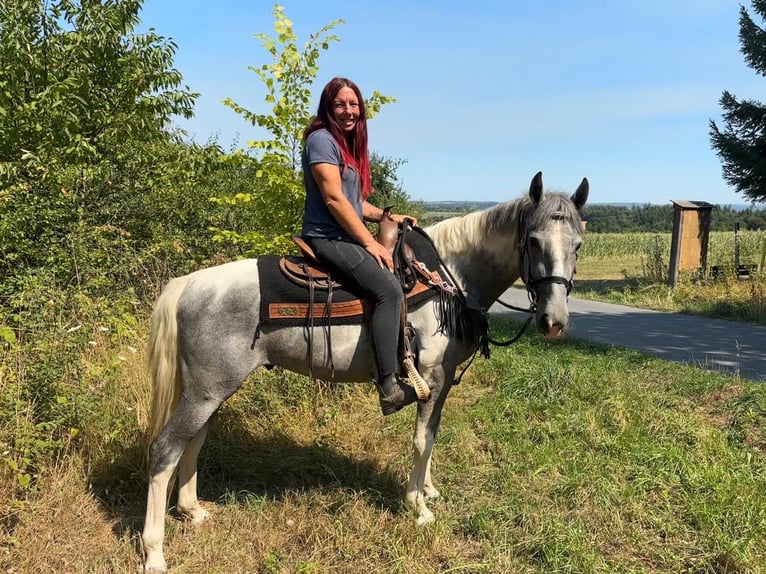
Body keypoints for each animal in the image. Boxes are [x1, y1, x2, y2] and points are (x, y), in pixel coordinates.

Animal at [141, 171, 589, 571]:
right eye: (533, 241)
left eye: (579, 245)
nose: (554, 321)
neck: (448, 277)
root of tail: (189, 284)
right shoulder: (433, 378)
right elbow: (421, 440)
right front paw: (417, 506)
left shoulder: (442, 384)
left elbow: (433, 438)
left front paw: (428, 490)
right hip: (206, 392)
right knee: (165, 451)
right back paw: (154, 553)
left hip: (209, 391)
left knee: (194, 442)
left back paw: (193, 511)